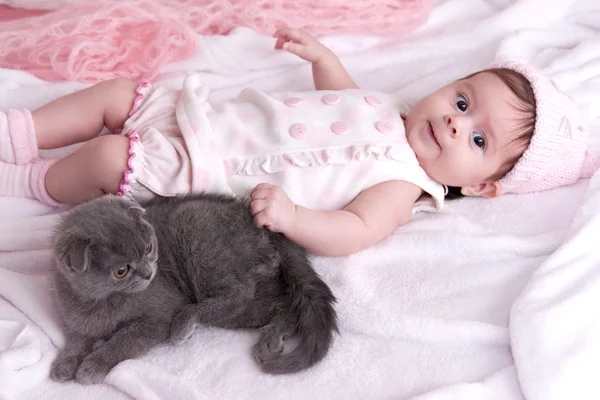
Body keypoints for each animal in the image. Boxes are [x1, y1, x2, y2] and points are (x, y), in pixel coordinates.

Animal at [50, 194, 338, 384]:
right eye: (121, 270)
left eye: (148, 248)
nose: (148, 273)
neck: (102, 301)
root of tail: (265, 225)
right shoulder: (77, 320)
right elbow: (76, 338)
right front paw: (65, 362)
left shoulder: (158, 315)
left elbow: (125, 340)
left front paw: (94, 365)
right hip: (249, 301)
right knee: (286, 303)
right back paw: (272, 336)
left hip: (195, 236)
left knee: (239, 293)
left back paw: (186, 322)